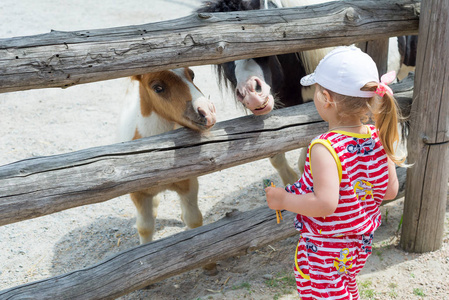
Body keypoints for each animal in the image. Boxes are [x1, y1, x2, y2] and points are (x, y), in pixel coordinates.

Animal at [118, 68, 216, 244]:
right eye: (158, 88)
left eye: (192, 75)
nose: (208, 112)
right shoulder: (138, 194)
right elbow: (144, 227)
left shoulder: (190, 184)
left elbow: (194, 219)